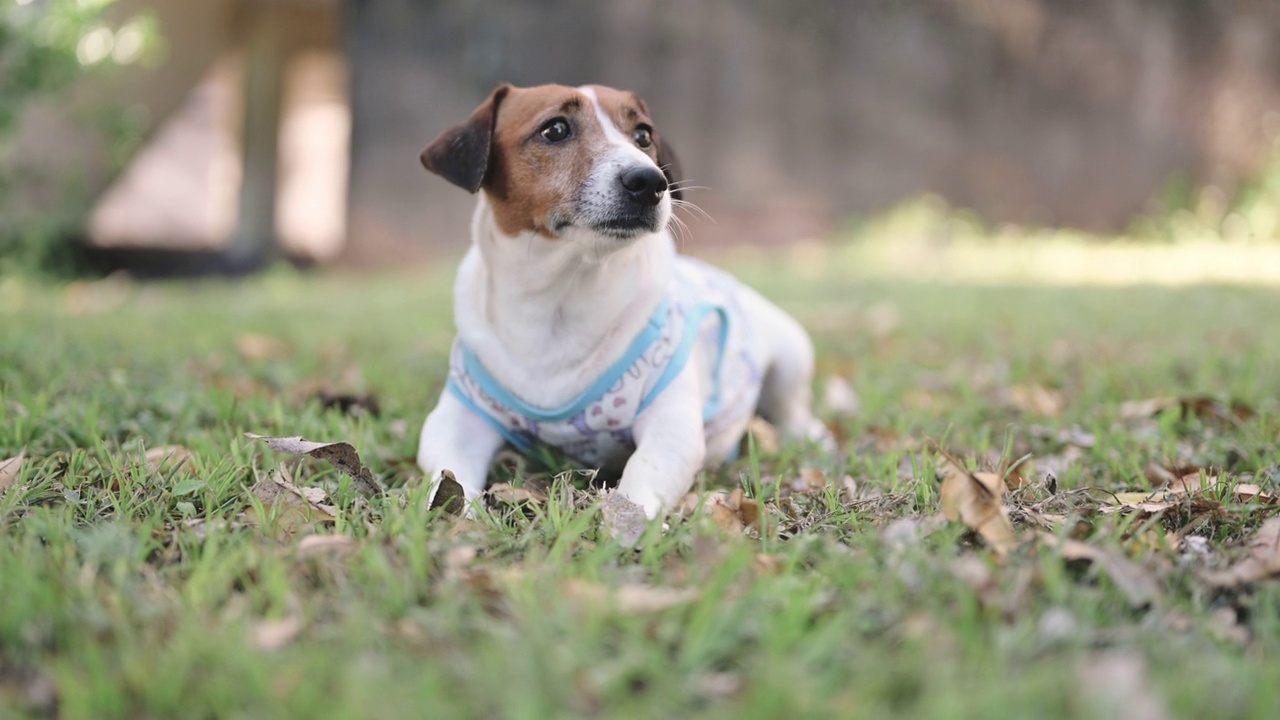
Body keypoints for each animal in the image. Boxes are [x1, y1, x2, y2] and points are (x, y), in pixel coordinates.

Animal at [414, 83, 824, 517]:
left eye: (643, 135)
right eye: (555, 129)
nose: (650, 181)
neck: (562, 295)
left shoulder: (670, 424)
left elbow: (644, 473)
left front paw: (628, 521)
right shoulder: (457, 419)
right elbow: (450, 475)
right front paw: (461, 515)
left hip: (792, 357)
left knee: (795, 411)